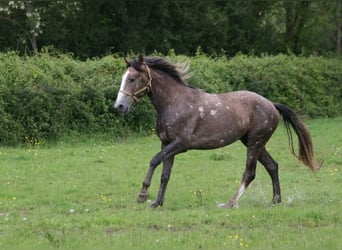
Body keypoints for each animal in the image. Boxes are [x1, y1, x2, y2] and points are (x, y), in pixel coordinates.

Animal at [113, 55, 320, 209]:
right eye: (124, 78)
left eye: (132, 79)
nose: (119, 106)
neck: (174, 102)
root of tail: (271, 104)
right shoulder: (166, 143)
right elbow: (165, 174)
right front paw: (157, 202)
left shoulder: (180, 144)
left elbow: (154, 160)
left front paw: (142, 195)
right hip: (253, 142)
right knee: (272, 166)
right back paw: (275, 200)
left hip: (255, 142)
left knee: (250, 173)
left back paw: (229, 203)